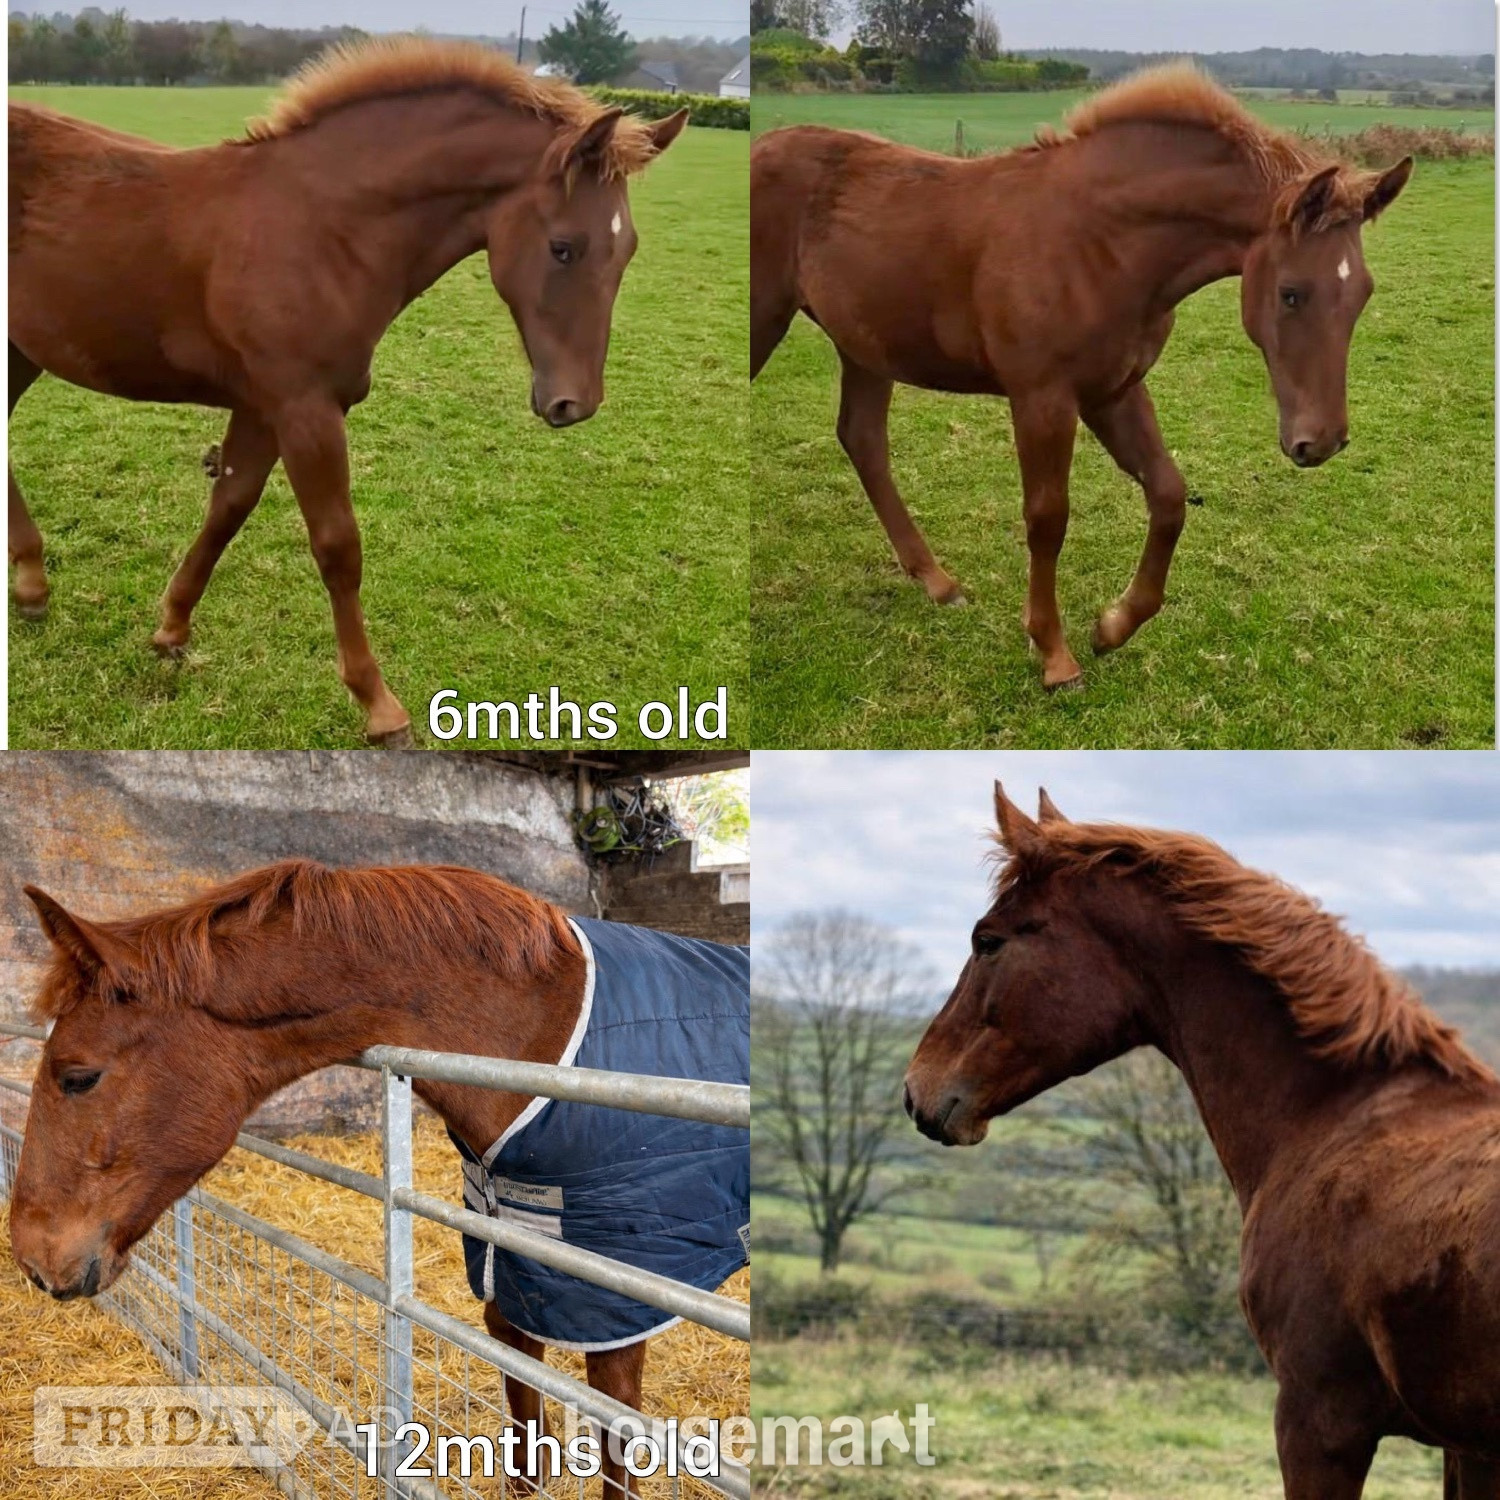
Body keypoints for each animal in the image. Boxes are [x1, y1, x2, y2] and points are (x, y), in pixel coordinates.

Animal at [6, 860, 748, 1498]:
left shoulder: (618, 1292)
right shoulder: (512, 1273)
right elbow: (524, 1434)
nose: (34, 1258)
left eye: (78, 1076)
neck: (545, 1032)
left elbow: (617, 1445)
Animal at [9, 38, 687, 745]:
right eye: (563, 248)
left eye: (627, 250)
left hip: (20, 349)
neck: (324, 230)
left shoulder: (262, 406)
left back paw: (31, 585)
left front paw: (171, 628)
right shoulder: (304, 408)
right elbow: (337, 546)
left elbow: (228, 508)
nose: (573, 403)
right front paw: (379, 705)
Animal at [750, 66, 1412, 690]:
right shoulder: (1042, 398)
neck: (1099, 239)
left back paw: (938, 582)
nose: (1320, 442)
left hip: (864, 346)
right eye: (1291, 293)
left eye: (1363, 293)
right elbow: (1048, 518)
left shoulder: (1113, 390)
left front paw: (1112, 626)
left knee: (863, 440)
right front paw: (1055, 655)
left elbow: (1169, 495)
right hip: (771, 321)